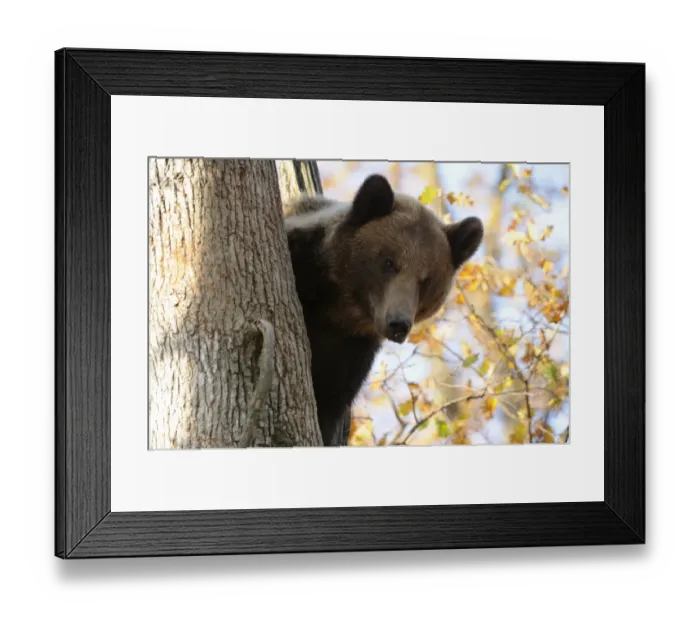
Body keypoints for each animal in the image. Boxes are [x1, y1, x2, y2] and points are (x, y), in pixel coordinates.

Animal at [284, 174, 484, 447]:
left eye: (426, 279)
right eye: (389, 262)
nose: (398, 323)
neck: (339, 310)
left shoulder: (351, 353)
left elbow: (328, 404)